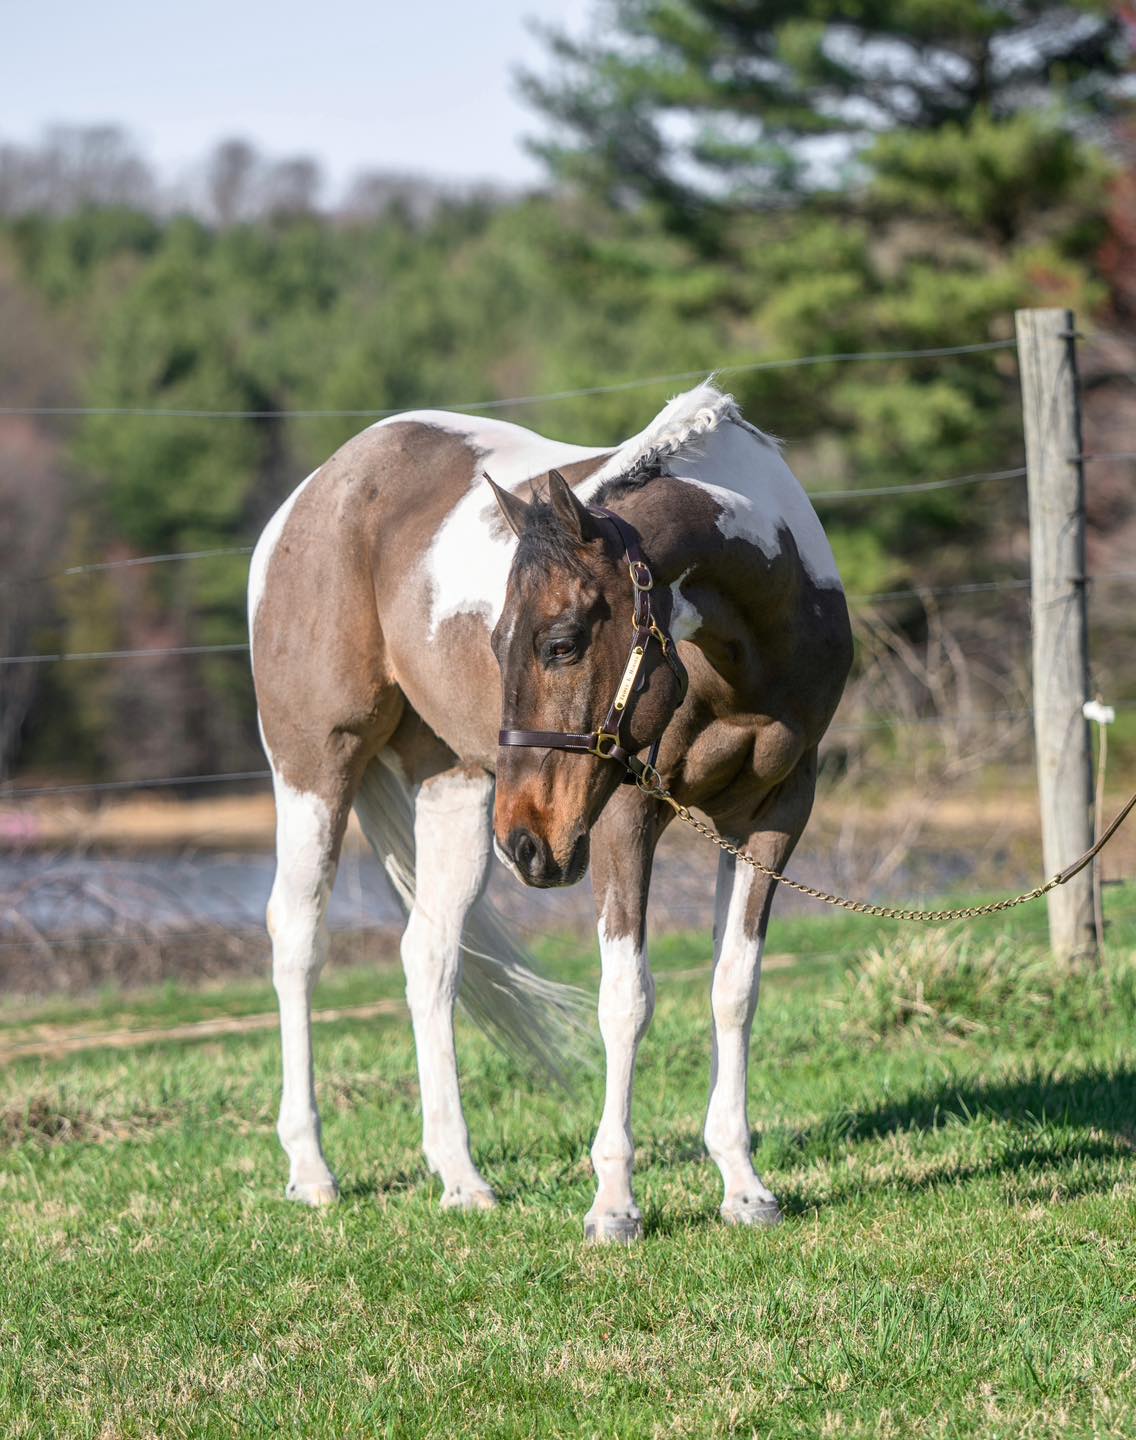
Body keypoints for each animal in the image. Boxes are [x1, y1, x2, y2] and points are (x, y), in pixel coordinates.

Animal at [248, 382, 852, 1240]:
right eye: (495, 640)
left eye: (562, 642)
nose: (529, 845)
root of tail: (314, 494)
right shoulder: (627, 814)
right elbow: (626, 1000)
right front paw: (614, 1204)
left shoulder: (774, 814)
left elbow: (734, 989)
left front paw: (744, 1188)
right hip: (314, 766)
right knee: (298, 941)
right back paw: (311, 1171)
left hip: (458, 788)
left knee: (429, 956)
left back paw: (462, 1179)